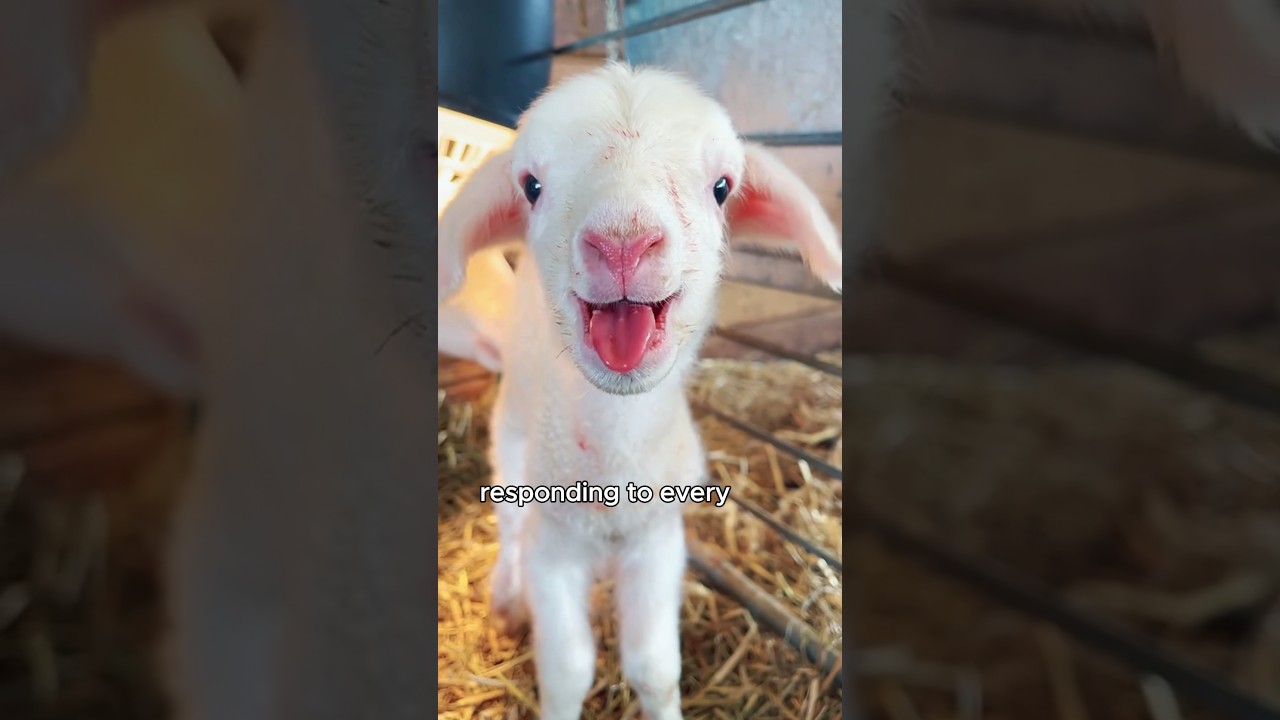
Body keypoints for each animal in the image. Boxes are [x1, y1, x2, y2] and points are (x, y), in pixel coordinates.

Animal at [437, 62, 843, 720]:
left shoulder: (658, 542)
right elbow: (567, 671)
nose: (623, 243)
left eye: (722, 187)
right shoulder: (553, 547)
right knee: (507, 523)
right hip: (512, 442)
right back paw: (505, 597)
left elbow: (653, 668)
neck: (613, 462)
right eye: (531, 186)